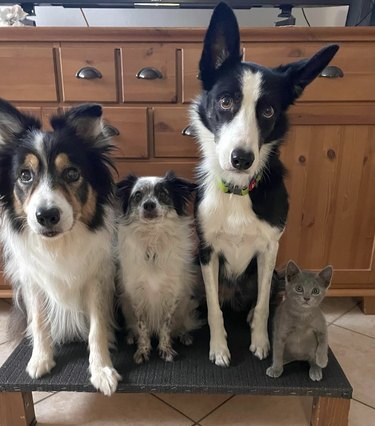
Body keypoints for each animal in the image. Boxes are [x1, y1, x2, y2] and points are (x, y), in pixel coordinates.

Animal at [0, 99, 120, 396]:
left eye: (72, 173)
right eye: (25, 175)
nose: (46, 216)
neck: (59, 243)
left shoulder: (97, 277)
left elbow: (97, 327)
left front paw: (102, 370)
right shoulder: (32, 280)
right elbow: (41, 319)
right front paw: (41, 359)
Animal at [117, 171, 201, 364]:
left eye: (163, 194)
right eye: (137, 195)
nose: (149, 204)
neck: (152, 239)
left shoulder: (172, 295)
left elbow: (166, 325)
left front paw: (165, 349)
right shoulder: (137, 296)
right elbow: (142, 327)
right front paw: (143, 350)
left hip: (185, 303)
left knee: (181, 324)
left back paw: (184, 334)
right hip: (125, 305)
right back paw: (130, 336)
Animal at [192, 2, 340, 366]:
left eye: (269, 111)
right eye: (226, 101)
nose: (241, 159)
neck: (237, 189)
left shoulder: (269, 249)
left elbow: (261, 306)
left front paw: (260, 342)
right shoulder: (207, 251)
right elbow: (215, 309)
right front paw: (219, 347)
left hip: (273, 273)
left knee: (265, 298)